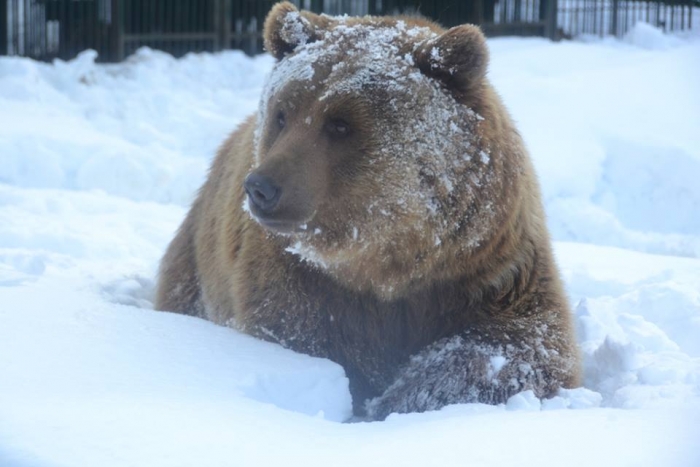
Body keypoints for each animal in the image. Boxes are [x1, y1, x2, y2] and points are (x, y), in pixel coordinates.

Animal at [156, 1, 584, 420]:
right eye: (282, 114)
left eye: (340, 124)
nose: (261, 187)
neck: (389, 261)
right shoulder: (303, 283)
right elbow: (302, 337)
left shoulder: (486, 267)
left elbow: (522, 346)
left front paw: (407, 397)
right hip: (193, 264)